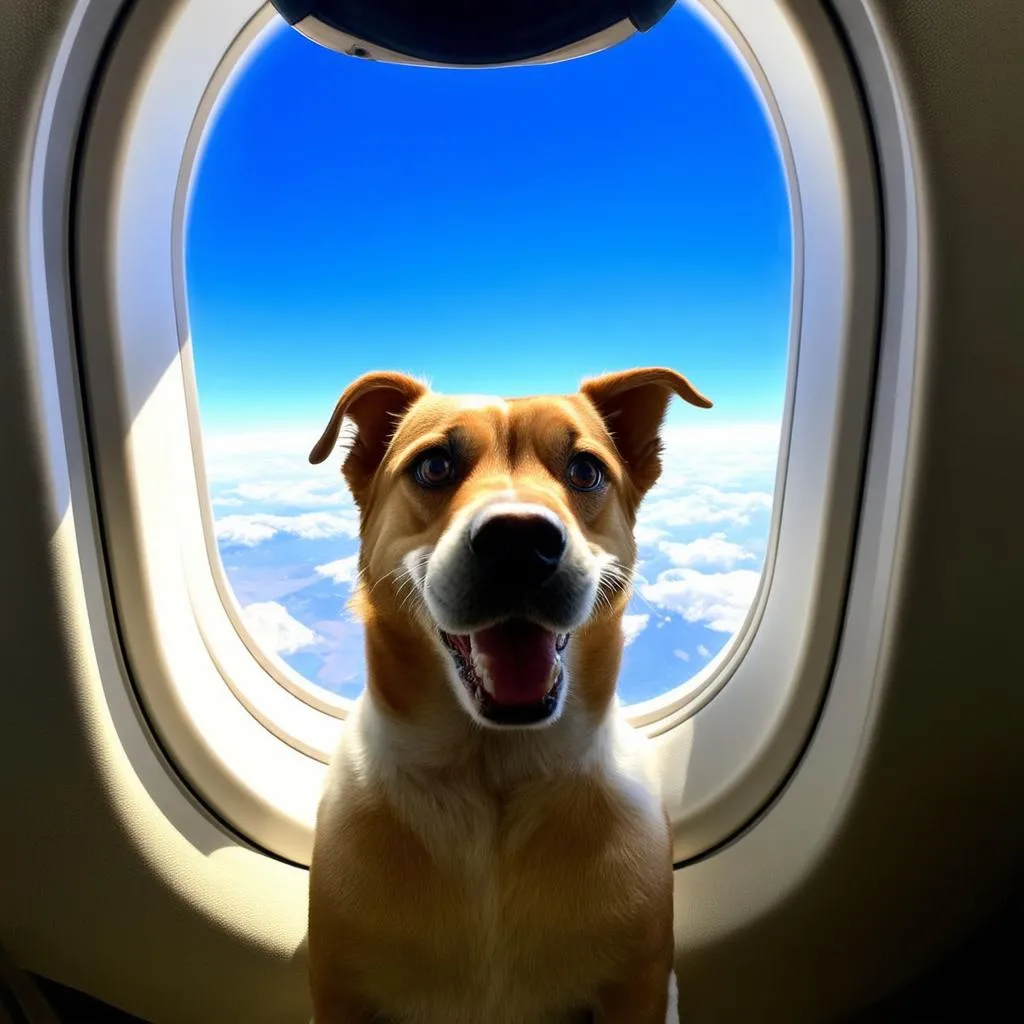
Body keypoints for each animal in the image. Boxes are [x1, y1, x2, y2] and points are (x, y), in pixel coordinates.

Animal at [303, 368, 712, 1024]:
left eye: (586, 471)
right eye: (434, 466)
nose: (520, 540)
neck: (492, 782)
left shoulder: (640, 987)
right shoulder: (340, 991)